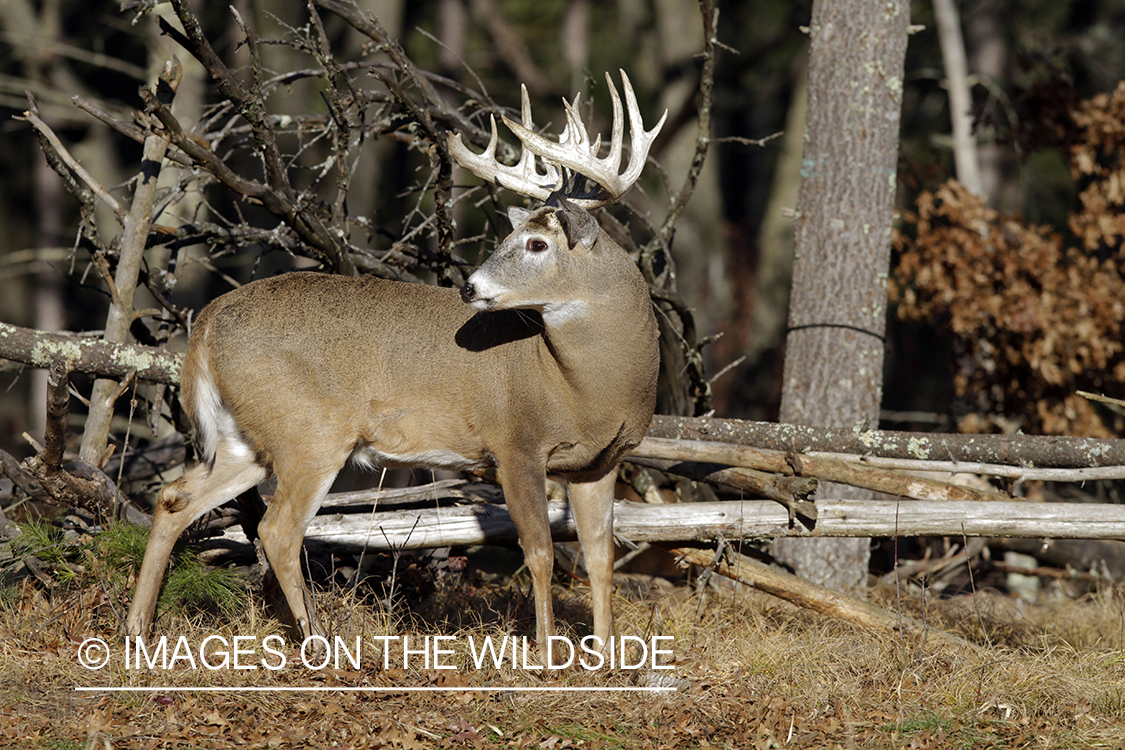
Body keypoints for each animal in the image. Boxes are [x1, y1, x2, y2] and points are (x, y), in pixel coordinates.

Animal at [123, 68, 666, 656]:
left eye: (538, 244)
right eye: (514, 237)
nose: (469, 286)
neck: (585, 385)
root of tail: (206, 321)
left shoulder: (600, 461)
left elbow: (601, 556)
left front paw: (606, 657)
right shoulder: (514, 444)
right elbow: (541, 553)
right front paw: (545, 656)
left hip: (248, 437)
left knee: (174, 497)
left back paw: (137, 630)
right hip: (310, 431)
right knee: (277, 529)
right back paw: (319, 644)